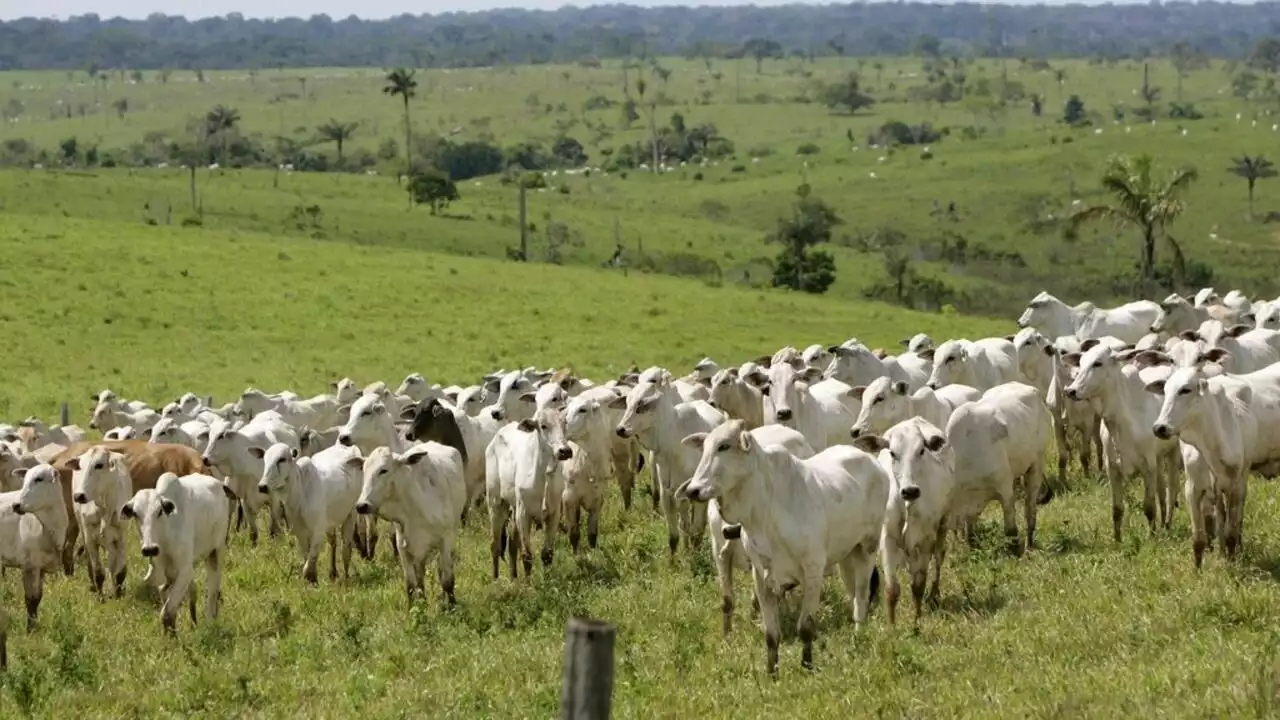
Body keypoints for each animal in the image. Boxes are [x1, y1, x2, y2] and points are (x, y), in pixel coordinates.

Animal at [123, 474, 239, 630]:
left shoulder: (185, 570)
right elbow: (167, 600)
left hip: (216, 552)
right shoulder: (165, 573)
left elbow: (167, 613)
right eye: (135, 514)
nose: (150, 549)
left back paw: (210, 622)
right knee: (194, 591)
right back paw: (194, 623)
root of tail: (219, 483)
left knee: (213, 591)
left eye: (160, 511)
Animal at [254, 440, 363, 579]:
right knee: (333, 541)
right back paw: (333, 572)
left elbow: (307, 568)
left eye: (281, 459)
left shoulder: (318, 532)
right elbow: (308, 563)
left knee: (346, 549)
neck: (299, 496)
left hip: (351, 514)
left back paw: (346, 577)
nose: (263, 486)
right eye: (265, 459)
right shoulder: (301, 533)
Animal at [680, 417, 890, 676]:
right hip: (847, 555)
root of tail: (872, 461)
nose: (693, 490)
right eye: (705, 447)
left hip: (867, 548)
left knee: (861, 598)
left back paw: (858, 637)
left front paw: (807, 667)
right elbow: (771, 634)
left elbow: (806, 627)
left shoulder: (813, 572)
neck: (765, 510)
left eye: (724, 446)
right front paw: (772, 673)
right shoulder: (761, 577)